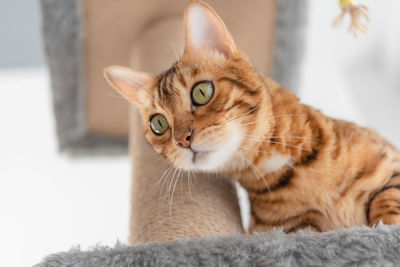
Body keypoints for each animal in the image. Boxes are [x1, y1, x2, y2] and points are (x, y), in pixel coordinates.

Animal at [104, 1, 400, 233]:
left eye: (201, 91)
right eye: (159, 123)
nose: (182, 140)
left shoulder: (391, 162)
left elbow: (388, 202)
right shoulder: (284, 230)